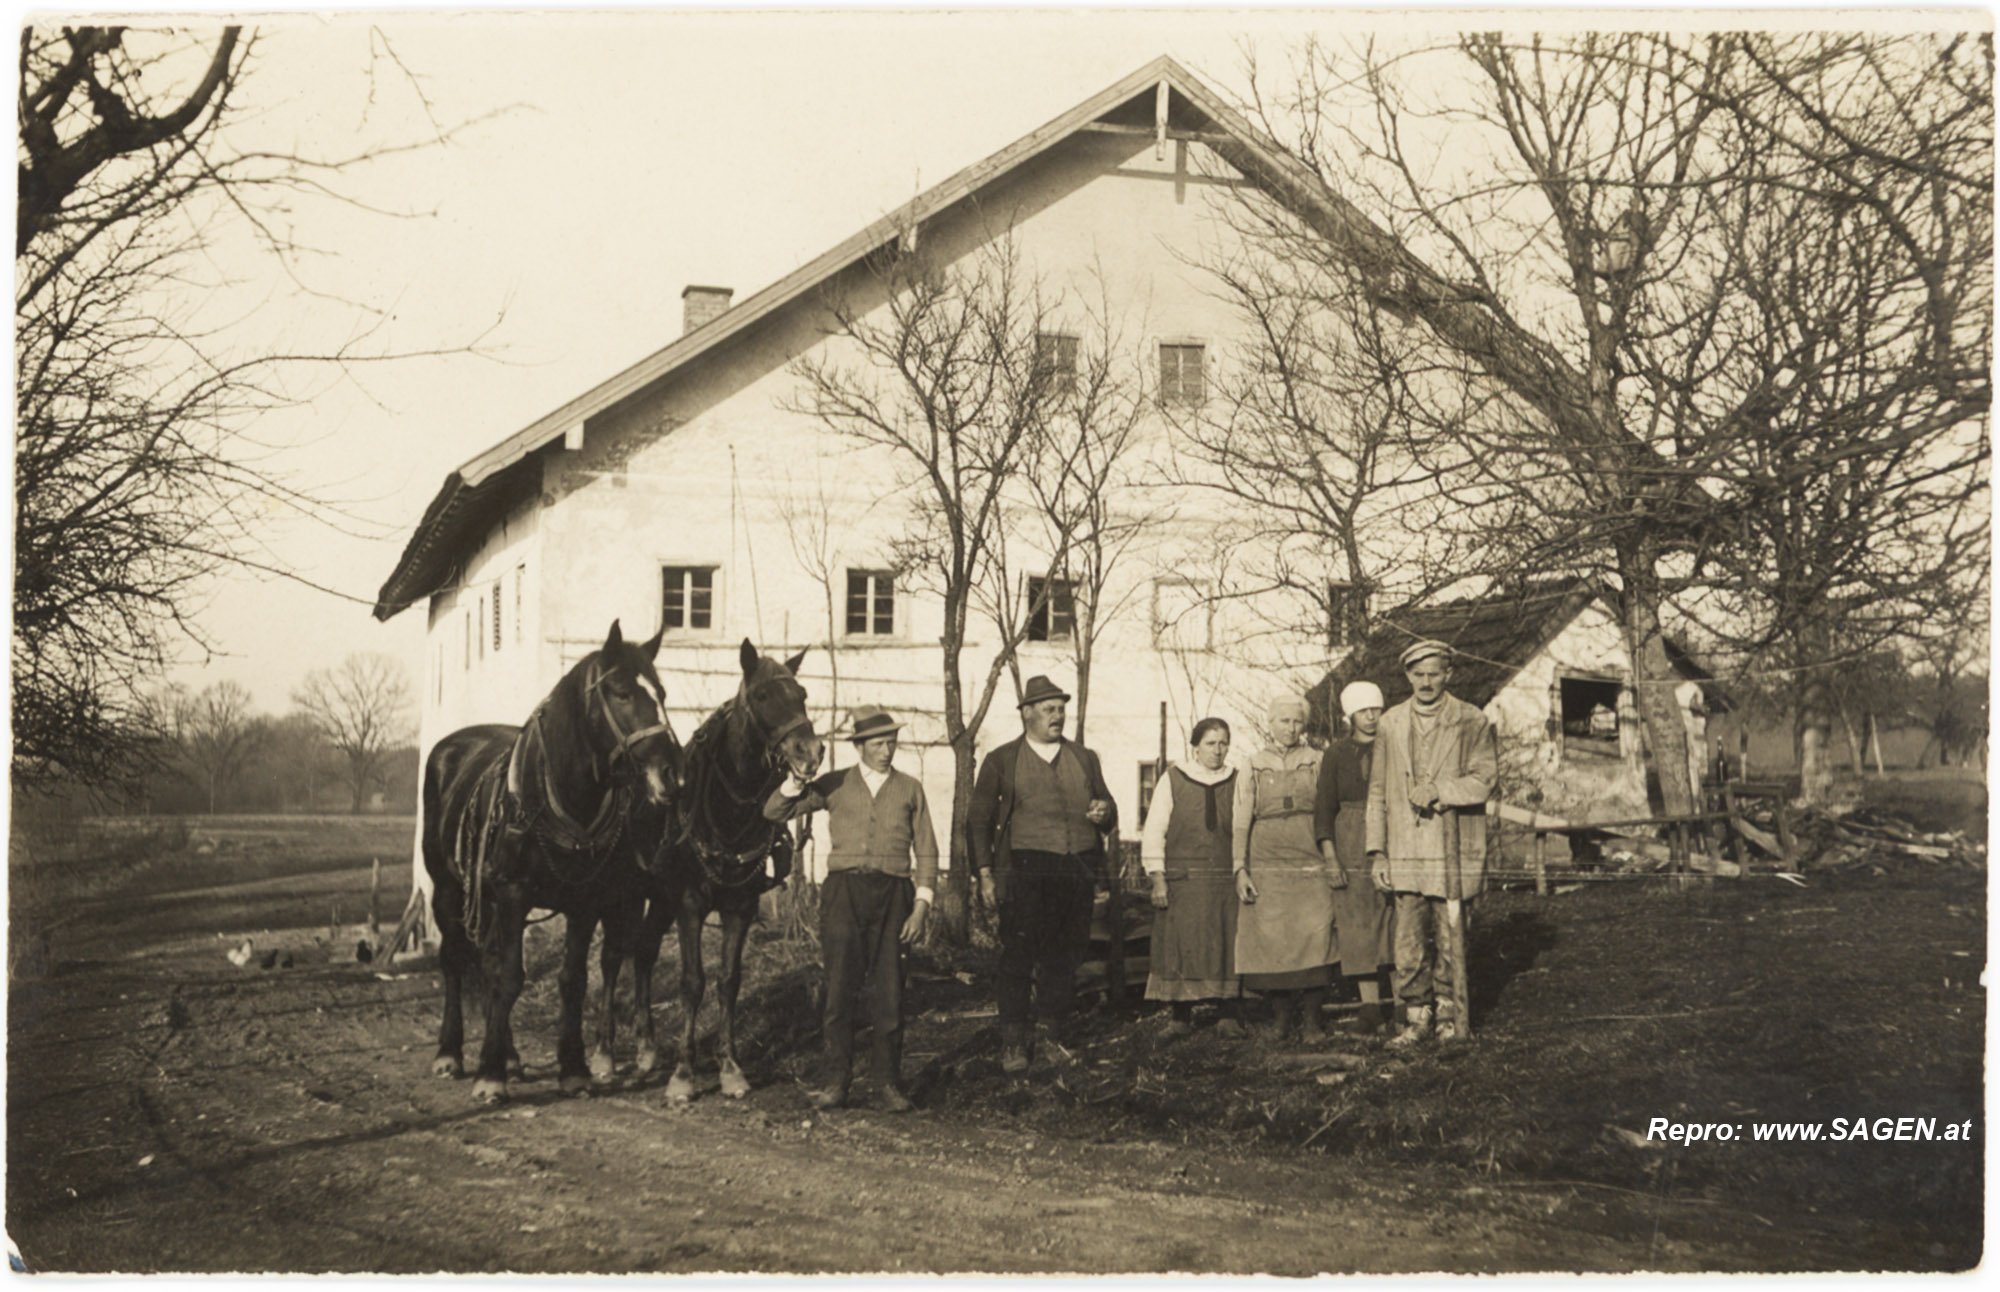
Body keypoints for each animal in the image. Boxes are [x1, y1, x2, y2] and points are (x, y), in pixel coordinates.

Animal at [420, 624, 680, 1112]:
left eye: (661, 693)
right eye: (621, 692)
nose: (670, 772)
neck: (562, 796)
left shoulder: (584, 903)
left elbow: (571, 979)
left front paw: (573, 1068)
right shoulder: (513, 894)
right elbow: (509, 976)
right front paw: (489, 1076)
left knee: (485, 961)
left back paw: (511, 1056)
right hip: (448, 890)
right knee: (456, 961)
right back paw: (451, 1052)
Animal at [592, 636, 820, 1104]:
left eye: (803, 694)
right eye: (762, 696)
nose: (809, 753)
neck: (728, 808)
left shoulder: (740, 907)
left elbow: (728, 981)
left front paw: (730, 1068)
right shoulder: (691, 906)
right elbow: (692, 982)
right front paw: (683, 1075)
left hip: (658, 898)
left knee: (644, 951)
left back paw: (646, 1047)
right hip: (625, 896)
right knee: (613, 957)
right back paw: (605, 1053)